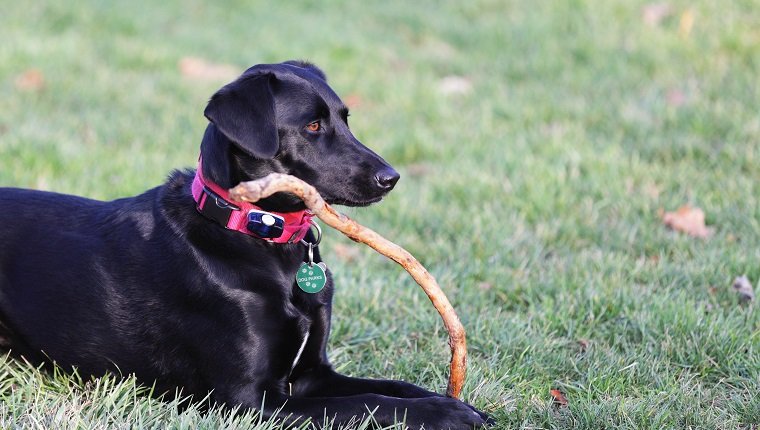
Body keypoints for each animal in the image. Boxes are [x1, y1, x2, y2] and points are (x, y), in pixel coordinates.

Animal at [0, 62, 490, 428]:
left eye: (345, 119)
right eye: (313, 125)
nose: (392, 178)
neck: (256, 234)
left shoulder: (313, 374)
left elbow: (393, 387)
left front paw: (459, 404)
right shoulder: (248, 401)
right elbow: (370, 403)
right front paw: (445, 413)